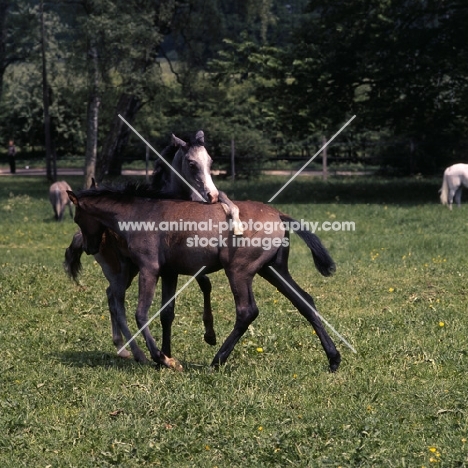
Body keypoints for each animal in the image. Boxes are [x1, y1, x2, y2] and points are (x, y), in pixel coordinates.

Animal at [67, 185, 342, 372]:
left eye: (77, 217)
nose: (90, 247)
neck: (139, 213)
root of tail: (278, 215)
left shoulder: (149, 268)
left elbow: (142, 313)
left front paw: (160, 357)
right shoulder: (169, 272)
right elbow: (167, 313)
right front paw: (167, 356)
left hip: (239, 271)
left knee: (247, 311)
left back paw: (216, 360)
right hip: (273, 270)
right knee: (305, 301)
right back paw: (334, 358)